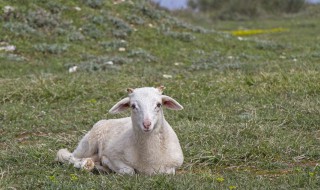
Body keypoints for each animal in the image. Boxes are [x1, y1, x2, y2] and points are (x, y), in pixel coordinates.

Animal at [56, 86, 184, 175]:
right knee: (69, 157)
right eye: (133, 106)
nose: (147, 124)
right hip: (87, 144)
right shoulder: (114, 155)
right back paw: (86, 164)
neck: (149, 158)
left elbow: (168, 172)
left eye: (159, 104)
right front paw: (106, 164)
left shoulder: (174, 165)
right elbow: (129, 171)